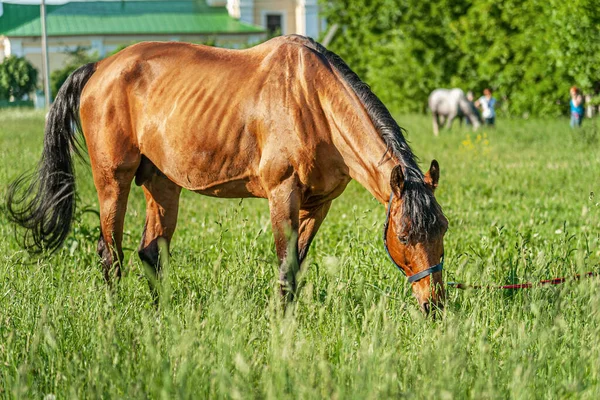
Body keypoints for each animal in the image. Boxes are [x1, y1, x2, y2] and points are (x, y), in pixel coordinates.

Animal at [7, 36, 448, 314]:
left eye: (443, 229)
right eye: (404, 237)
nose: (435, 305)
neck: (313, 100)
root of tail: (100, 67)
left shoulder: (318, 206)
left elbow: (298, 265)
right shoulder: (282, 194)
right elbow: (286, 268)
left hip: (161, 184)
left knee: (150, 252)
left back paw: (160, 315)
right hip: (112, 179)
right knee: (109, 252)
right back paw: (115, 314)